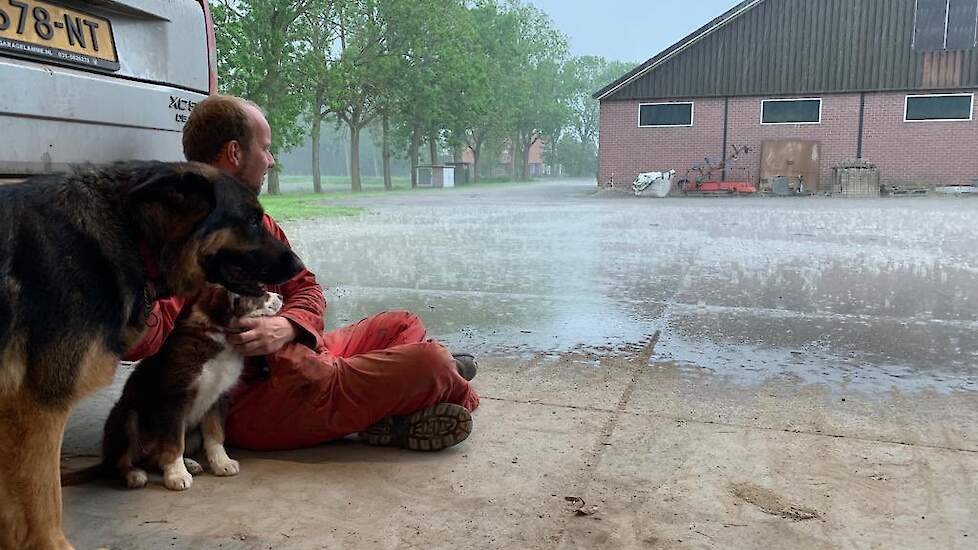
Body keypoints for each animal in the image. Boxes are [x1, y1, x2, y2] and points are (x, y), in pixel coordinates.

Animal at [63, 286, 280, 490]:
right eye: (260, 293)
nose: (280, 297)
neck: (218, 336)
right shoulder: (174, 400)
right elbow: (175, 442)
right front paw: (177, 476)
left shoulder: (219, 396)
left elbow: (215, 433)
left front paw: (222, 463)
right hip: (126, 417)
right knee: (118, 463)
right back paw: (134, 474)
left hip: (193, 434)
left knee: (155, 458)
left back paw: (189, 464)